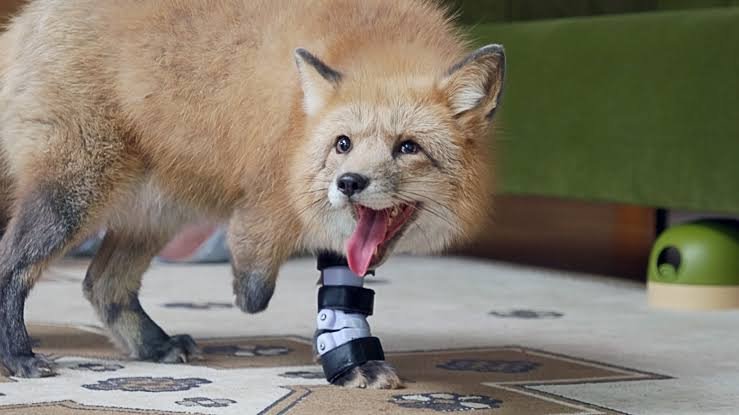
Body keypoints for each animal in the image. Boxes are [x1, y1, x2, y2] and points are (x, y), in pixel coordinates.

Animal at [0, 0, 504, 387]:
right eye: (343, 144)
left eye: (408, 147)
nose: (348, 183)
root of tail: (23, 20)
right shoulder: (273, 185)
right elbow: (256, 268)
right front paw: (249, 291)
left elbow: (341, 290)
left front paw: (353, 358)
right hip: (74, 195)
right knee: (12, 267)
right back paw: (18, 356)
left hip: (158, 211)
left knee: (102, 284)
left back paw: (153, 345)